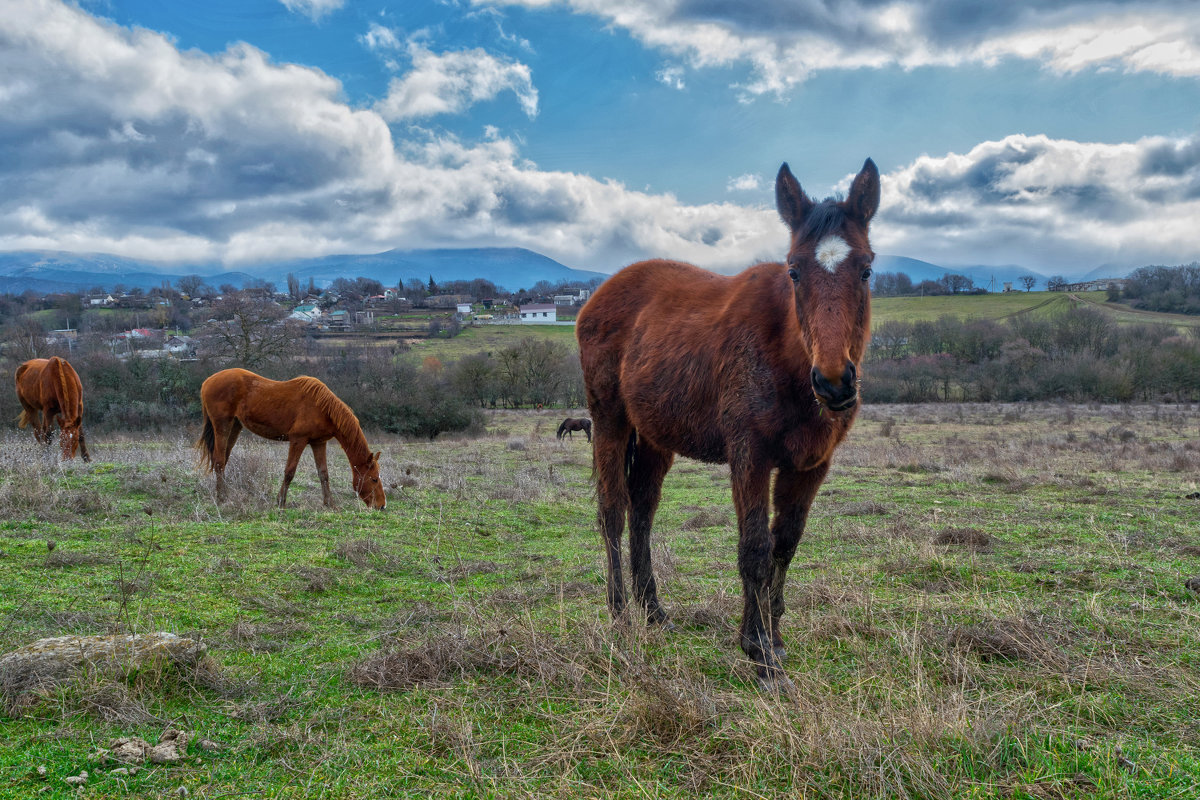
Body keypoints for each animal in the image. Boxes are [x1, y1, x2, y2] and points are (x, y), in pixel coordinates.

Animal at [196, 367, 384, 510]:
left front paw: (329, 504)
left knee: (223, 459)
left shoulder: (318, 443)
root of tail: (207, 381)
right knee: (219, 461)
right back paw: (222, 497)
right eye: (374, 479)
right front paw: (281, 502)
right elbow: (289, 472)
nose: (382, 506)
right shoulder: (298, 440)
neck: (323, 408)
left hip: (235, 426)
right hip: (222, 425)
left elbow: (323, 474)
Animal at [576, 155, 878, 690]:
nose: (834, 382)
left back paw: (653, 610)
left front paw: (774, 638)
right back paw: (620, 615)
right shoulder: (749, 458)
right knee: (612, 511)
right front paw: (758, 654)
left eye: (865, 269)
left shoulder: (810, 466)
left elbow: (784, 546)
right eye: (794, 271)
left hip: (655, 439)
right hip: (609, 422)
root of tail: (599, 295)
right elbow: (754, 548)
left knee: (642, 511)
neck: (787, 356)